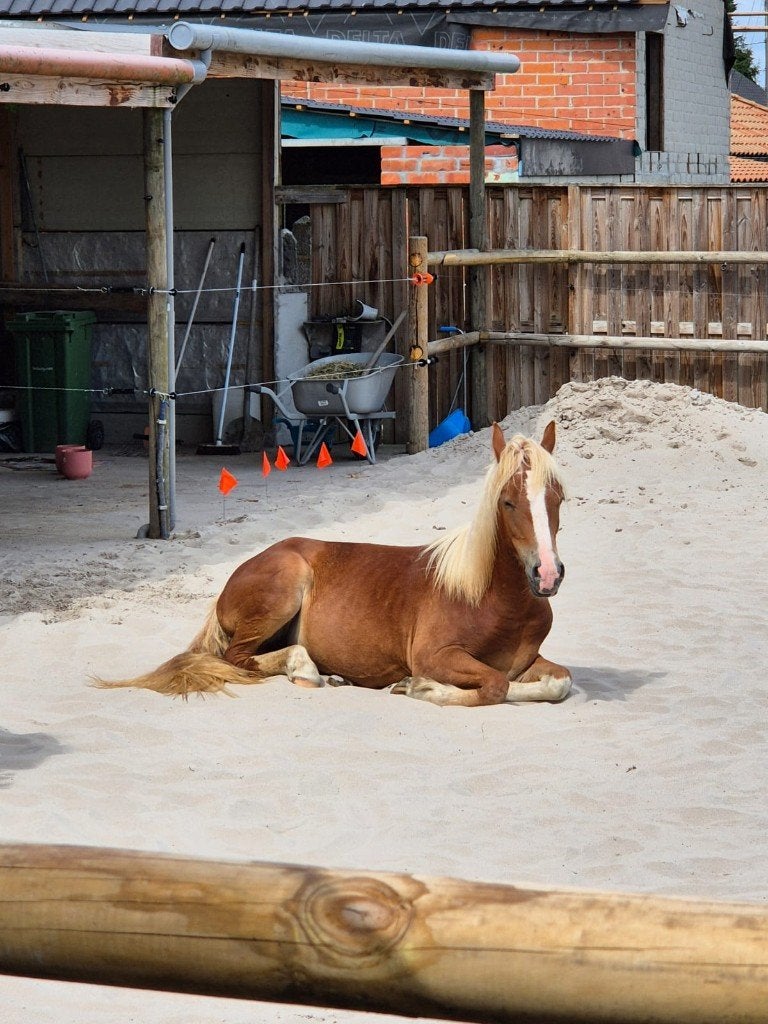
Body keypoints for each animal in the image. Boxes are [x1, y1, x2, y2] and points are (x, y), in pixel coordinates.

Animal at [95, 421, 571, 708]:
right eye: (507, 502)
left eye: (558, 497)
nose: (547, 575)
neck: (491, 597)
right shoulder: (434, 654)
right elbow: (495, 685)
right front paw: (417, 686)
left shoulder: (527, 660)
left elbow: (557, 681)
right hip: (283, 590)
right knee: (237, 658)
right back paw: (305, 669)